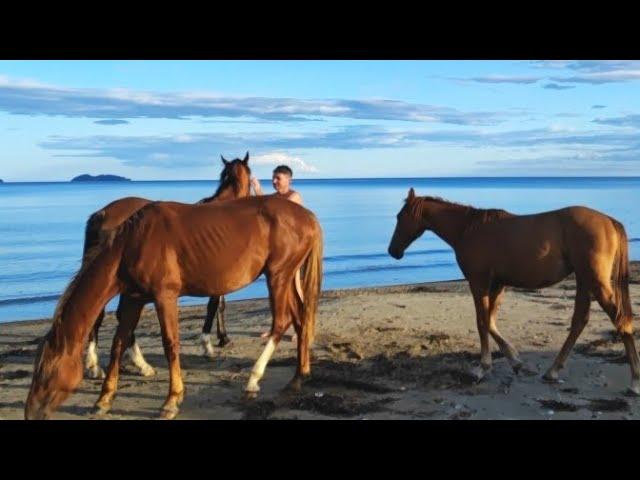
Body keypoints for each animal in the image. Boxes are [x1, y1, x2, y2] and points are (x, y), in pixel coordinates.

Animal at [25, 195, 324, 420]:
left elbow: (170, 344)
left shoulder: (164, 296)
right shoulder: (133, 299)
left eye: (46, 372)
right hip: (286, 277)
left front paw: (172, 400)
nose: (30, 412)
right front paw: (104, 399)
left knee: (281, 322)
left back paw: (253, 380)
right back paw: (299, 376)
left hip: (278, 276)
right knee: (300, 317)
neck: (132, 244)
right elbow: (119, 343)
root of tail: (307, 216)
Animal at [80, 153, 250, 378]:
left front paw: (222, 337)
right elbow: (214, 305)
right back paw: (140, 364)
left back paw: (97, 365)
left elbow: (219, 305)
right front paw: (208, 344)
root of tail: (102, 214)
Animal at [384, 188, 640, 394]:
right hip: (584, 280)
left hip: (595, 282)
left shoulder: (478, 282)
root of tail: (609, 221)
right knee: (580, 321)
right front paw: (515, 360)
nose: (392, 251)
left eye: (400, 217)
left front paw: (483, 367)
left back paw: (634, 382)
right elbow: (490, 321)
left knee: (620, 320)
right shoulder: (499, 284)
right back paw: (552, 371)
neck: (469, 229)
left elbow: (481, 321)